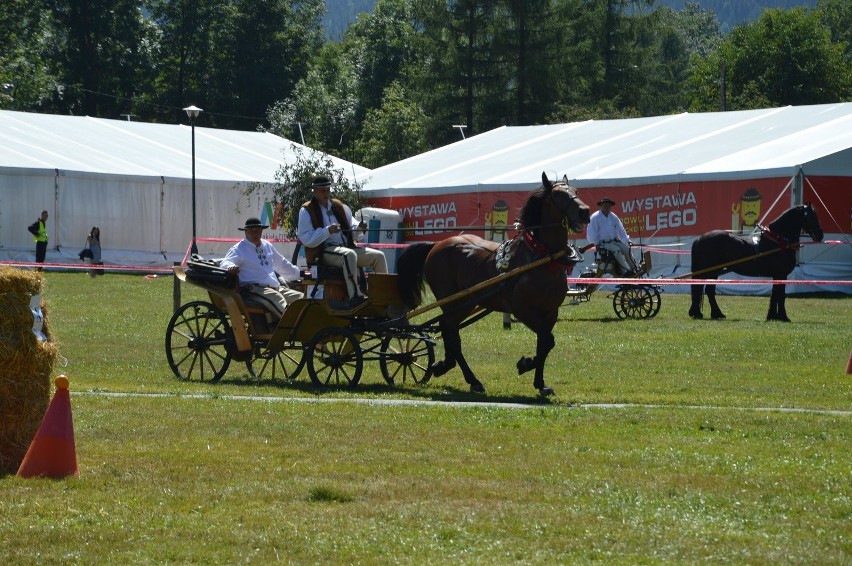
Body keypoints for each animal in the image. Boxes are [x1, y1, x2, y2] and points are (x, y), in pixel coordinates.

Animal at [396, 173, 588, 400]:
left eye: (576, 191)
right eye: (558, 195)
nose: (585, 212)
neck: (541, 258)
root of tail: (437, 245)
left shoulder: (550, 312)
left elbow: (544, 343)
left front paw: (539, 381)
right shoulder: (522, 310)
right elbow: (547, 340)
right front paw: (526, 364)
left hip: (466, 303)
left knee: (447, 328)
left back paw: (447, 366)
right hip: (453, 300)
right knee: (451, 331)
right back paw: (470, 378)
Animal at [688, 204, 824, 322]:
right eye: (811, 216)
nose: (820, 235)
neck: (778, 240)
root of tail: (699, 239)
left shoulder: (777, 275)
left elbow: (775, 294)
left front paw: (772, 316)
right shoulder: (781, 274)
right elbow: (780, 295)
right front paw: (783, 317)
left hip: (713, 272)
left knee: (706, 290)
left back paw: (713, 313)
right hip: (711, 271)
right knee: (705, 290)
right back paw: (709, 313)